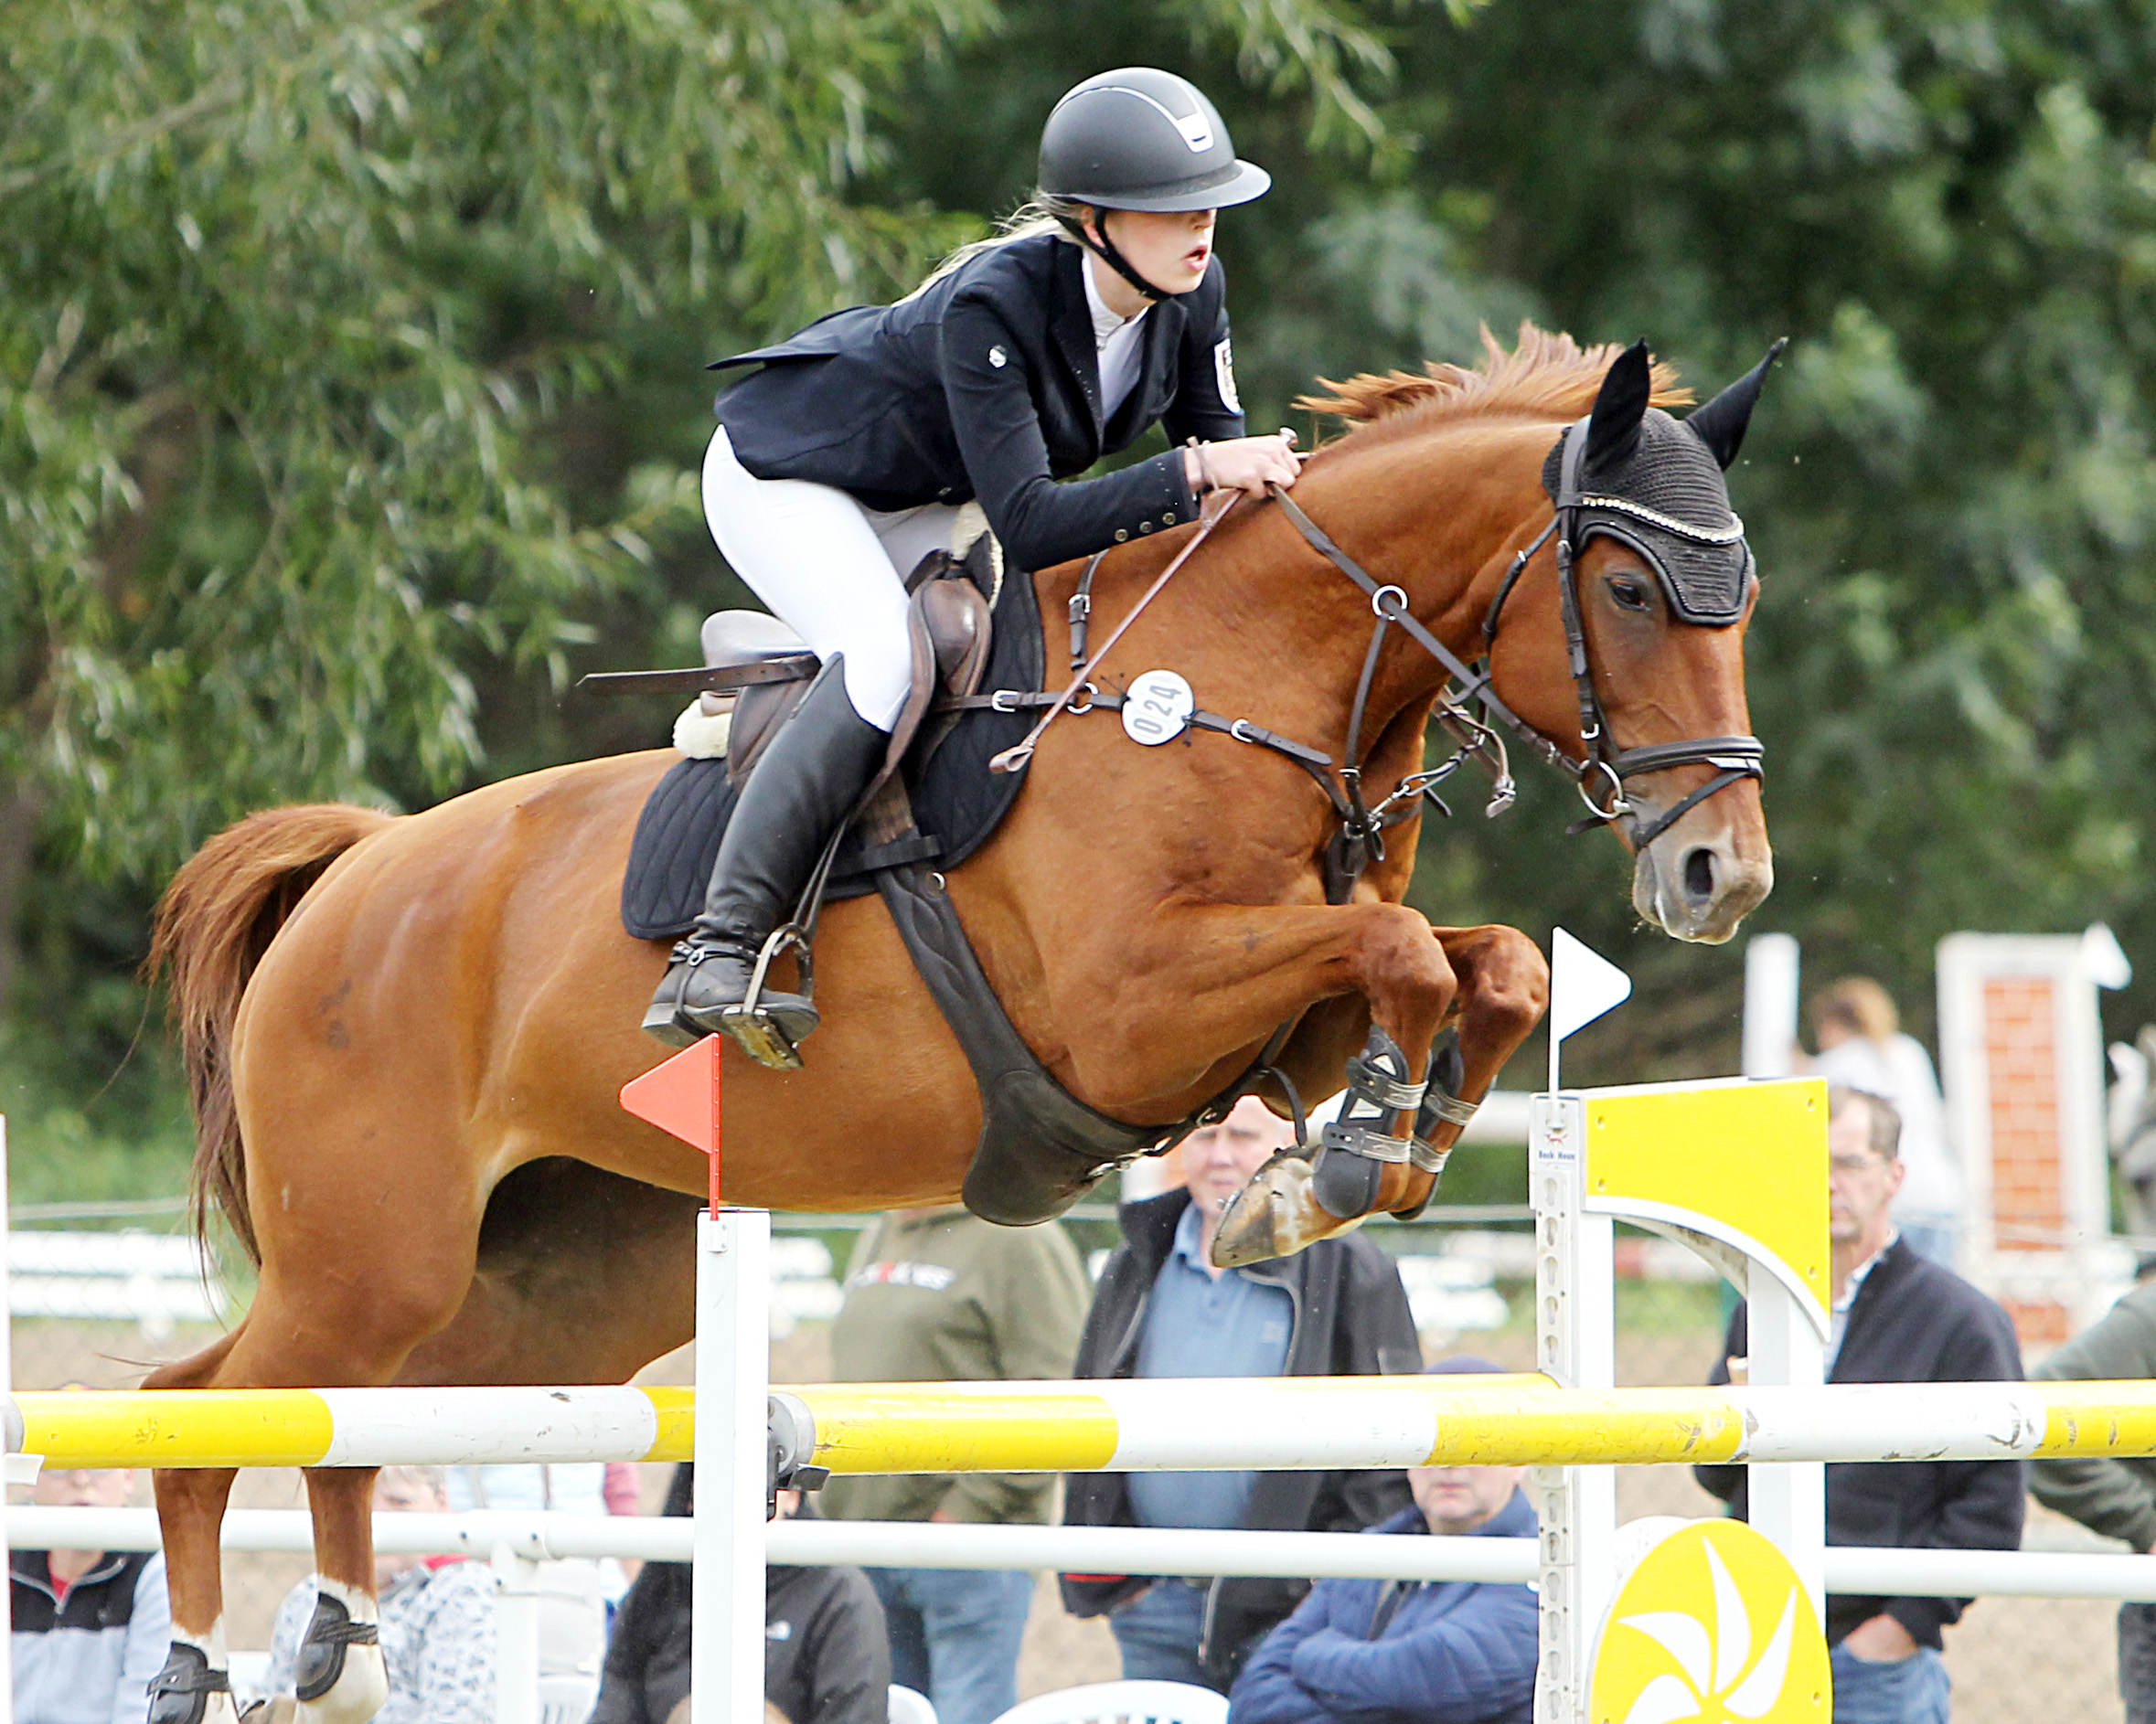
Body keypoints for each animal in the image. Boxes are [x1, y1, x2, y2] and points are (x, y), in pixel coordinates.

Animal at [143, 327, 1776, 1724]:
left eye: (1741, 604)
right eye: (1629, 593)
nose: (1723, 873)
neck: (1238, 676)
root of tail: (356, 869)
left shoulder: (1273, 1020)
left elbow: (1485, 968)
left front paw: (1359, 1156)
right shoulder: (1133, 1010)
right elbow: (1404, 953)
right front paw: (1342, 1160)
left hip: (556, 1285)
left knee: (346, 1416)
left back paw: (341, 1648)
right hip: (376, 1253)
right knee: (199, 1406)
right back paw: (200, 1661)